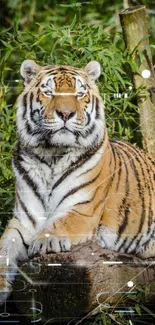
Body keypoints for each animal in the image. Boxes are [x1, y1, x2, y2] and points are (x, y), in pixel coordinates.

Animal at [0, 57, 154, 302]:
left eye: (80, 93)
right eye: (49, 92)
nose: (65, 113)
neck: (51, 156)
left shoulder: (83, 210)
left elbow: (59, 223)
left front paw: (43, 241)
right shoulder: (23, 220)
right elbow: (4, 248)